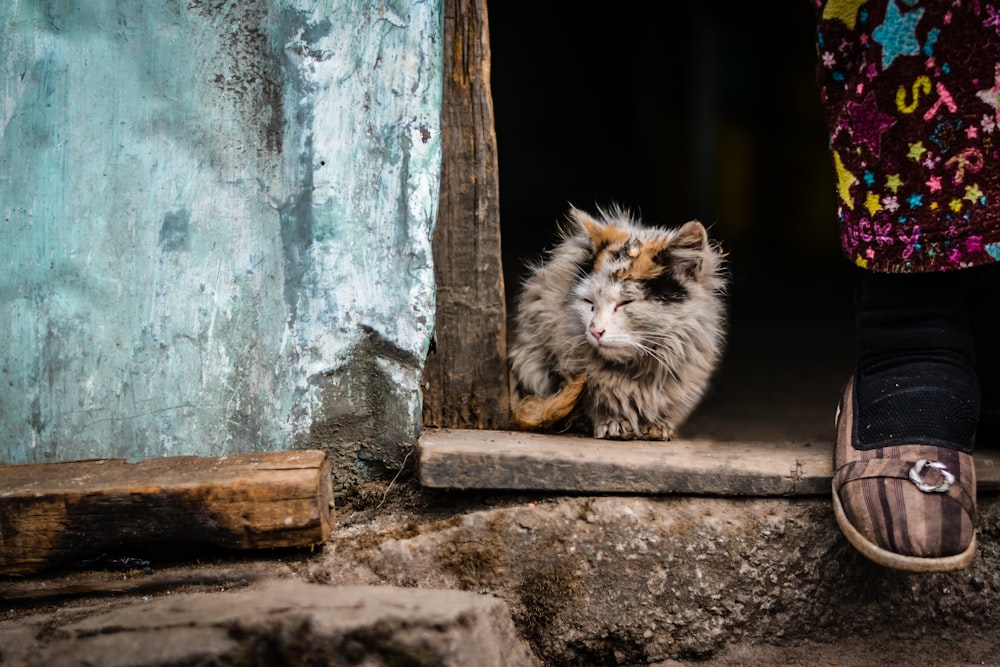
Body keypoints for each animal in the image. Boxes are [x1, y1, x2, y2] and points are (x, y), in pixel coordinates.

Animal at [508, 206, 728, 440]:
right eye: (589, 303)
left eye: (625, 303)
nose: (595, 330)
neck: (636, 371)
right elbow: (593, 401)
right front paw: (613, 423)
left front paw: (657, 425)